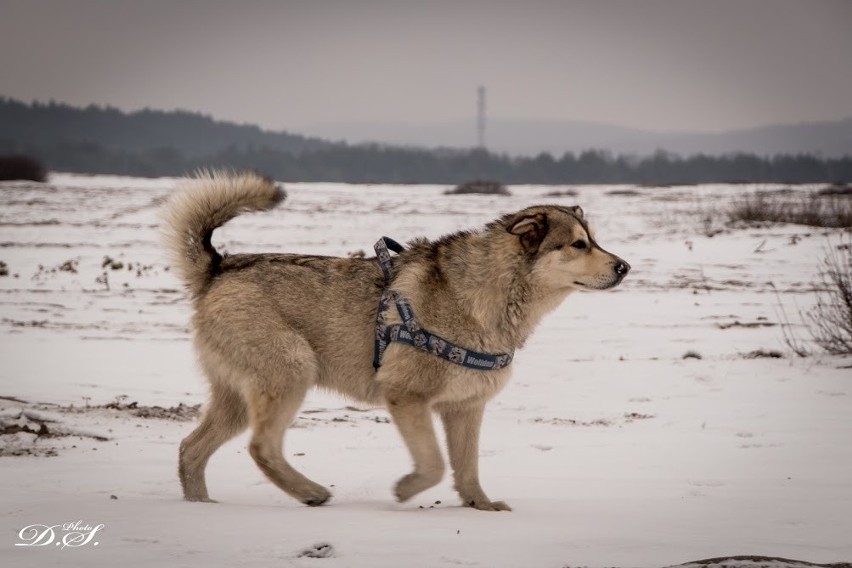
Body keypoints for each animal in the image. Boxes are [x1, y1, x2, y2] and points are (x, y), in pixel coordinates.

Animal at [163, 171, 628, 512]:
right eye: (578, 244)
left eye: (595, 240)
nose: (624, 267)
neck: (486, 293)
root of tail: (219, 267)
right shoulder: (407, 395)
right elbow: (435, 463)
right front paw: (406, 489)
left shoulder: (466, 407)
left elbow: (467, 467)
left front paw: (481, 506)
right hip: (291, 370)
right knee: (261, 447)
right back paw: (310, 492)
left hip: (238, 397)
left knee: (190, 449)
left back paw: (201, 506)